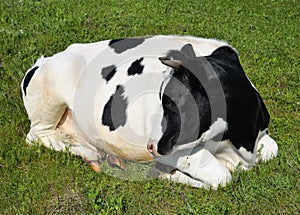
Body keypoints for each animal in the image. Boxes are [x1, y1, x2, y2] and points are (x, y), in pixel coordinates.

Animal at [20, 35, 278, 188]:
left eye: (172, 103)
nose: (151, 147)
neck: (240, 142)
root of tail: (44, 59)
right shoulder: (174, 150)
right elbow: (221, 177)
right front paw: (169, 175)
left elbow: (271, 150)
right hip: (53, 87)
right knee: (37, 136)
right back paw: (90, 152)